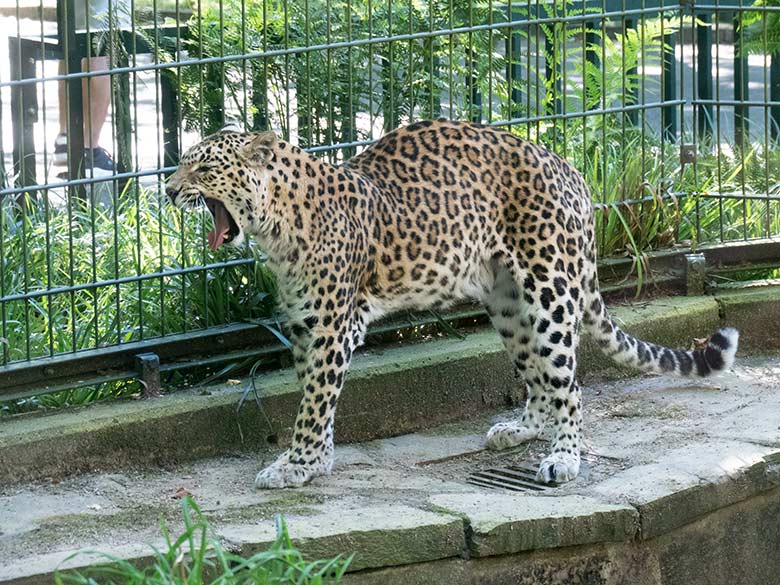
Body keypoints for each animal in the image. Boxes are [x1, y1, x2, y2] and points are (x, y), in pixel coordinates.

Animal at [165, 118, 736, 488]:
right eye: (182, 166)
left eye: (204, 169)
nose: (168, 190)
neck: (276, 223)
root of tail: (570, 169)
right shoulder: (307, 326)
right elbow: (314, 397)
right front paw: (316, 459)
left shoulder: (332, 326)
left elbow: (314, 401)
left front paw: (297, 465)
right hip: (509, 304)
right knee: (540, 380)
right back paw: (523, 429)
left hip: (550, 292)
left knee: (570, 386)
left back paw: (565, 459)